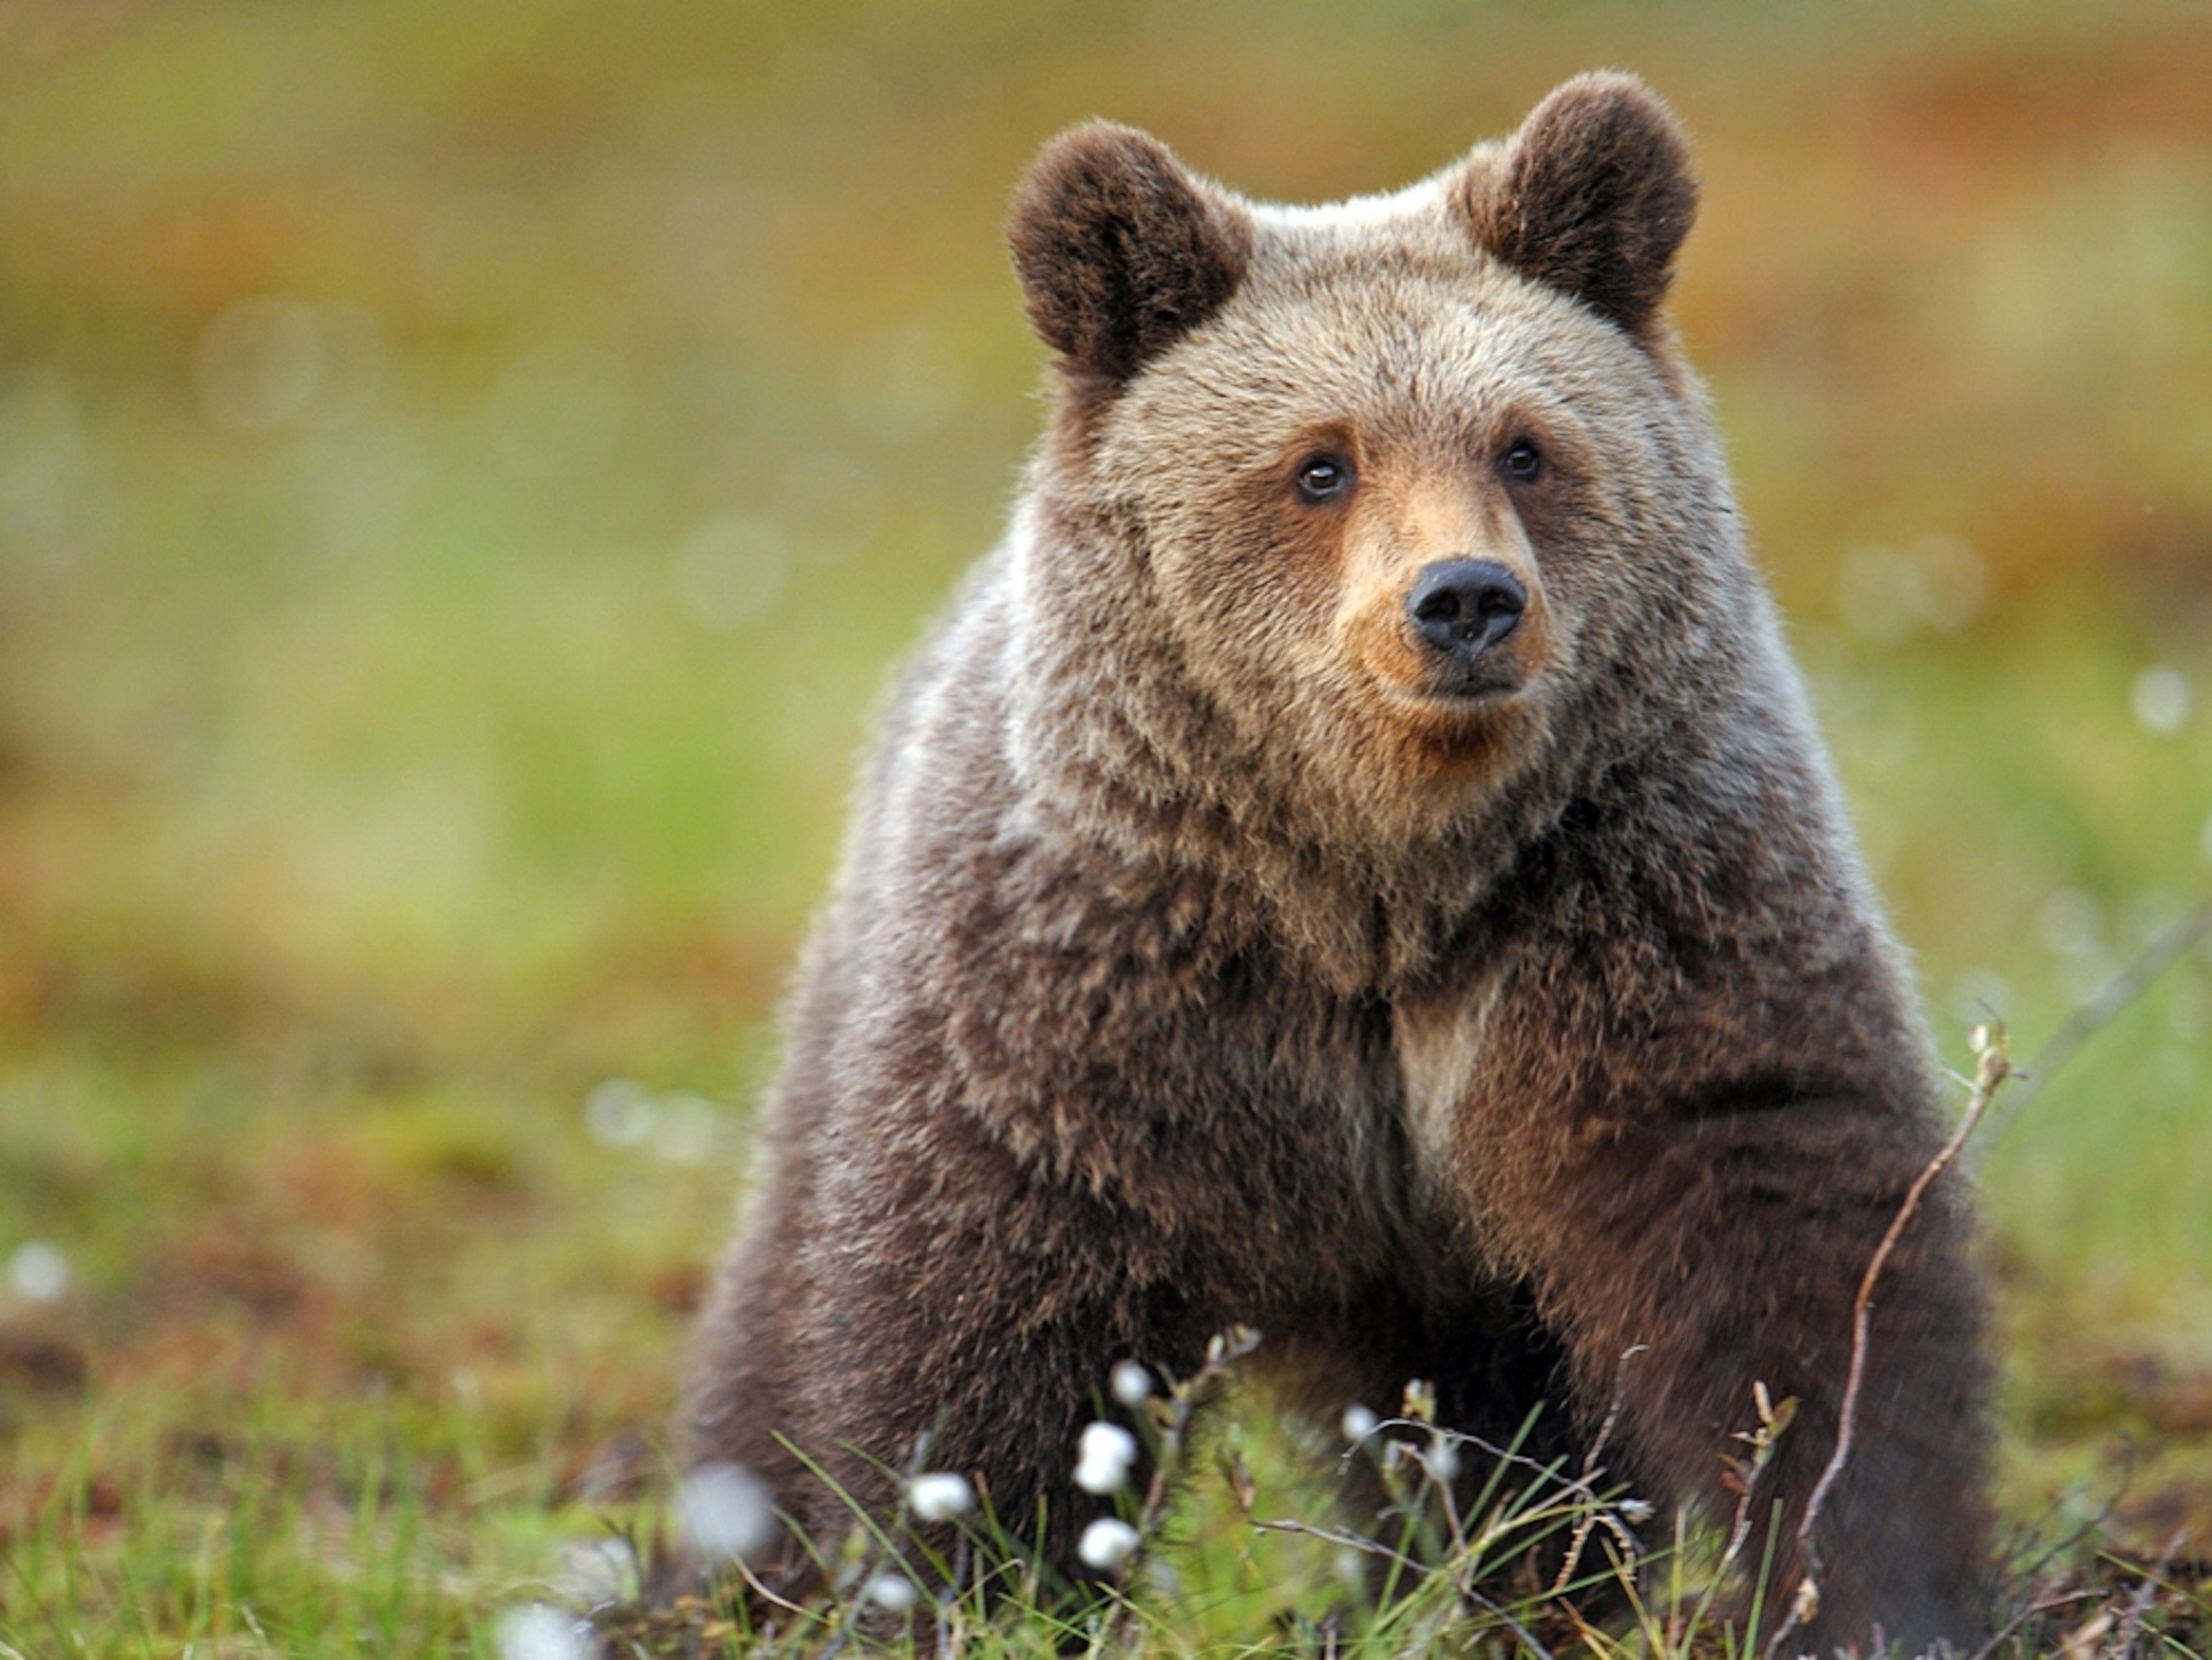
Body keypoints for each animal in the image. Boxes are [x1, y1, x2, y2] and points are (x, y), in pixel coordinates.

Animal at [681, 71, 2000, 1653]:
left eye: (1523, 445)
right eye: (1320, 463)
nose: (1465, 599)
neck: (1377, 886)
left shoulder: (1637, 910)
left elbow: (1787, 1237)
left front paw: (1868, 1582)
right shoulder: (1094, 989)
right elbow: (985, 1317)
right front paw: (973, 1584)